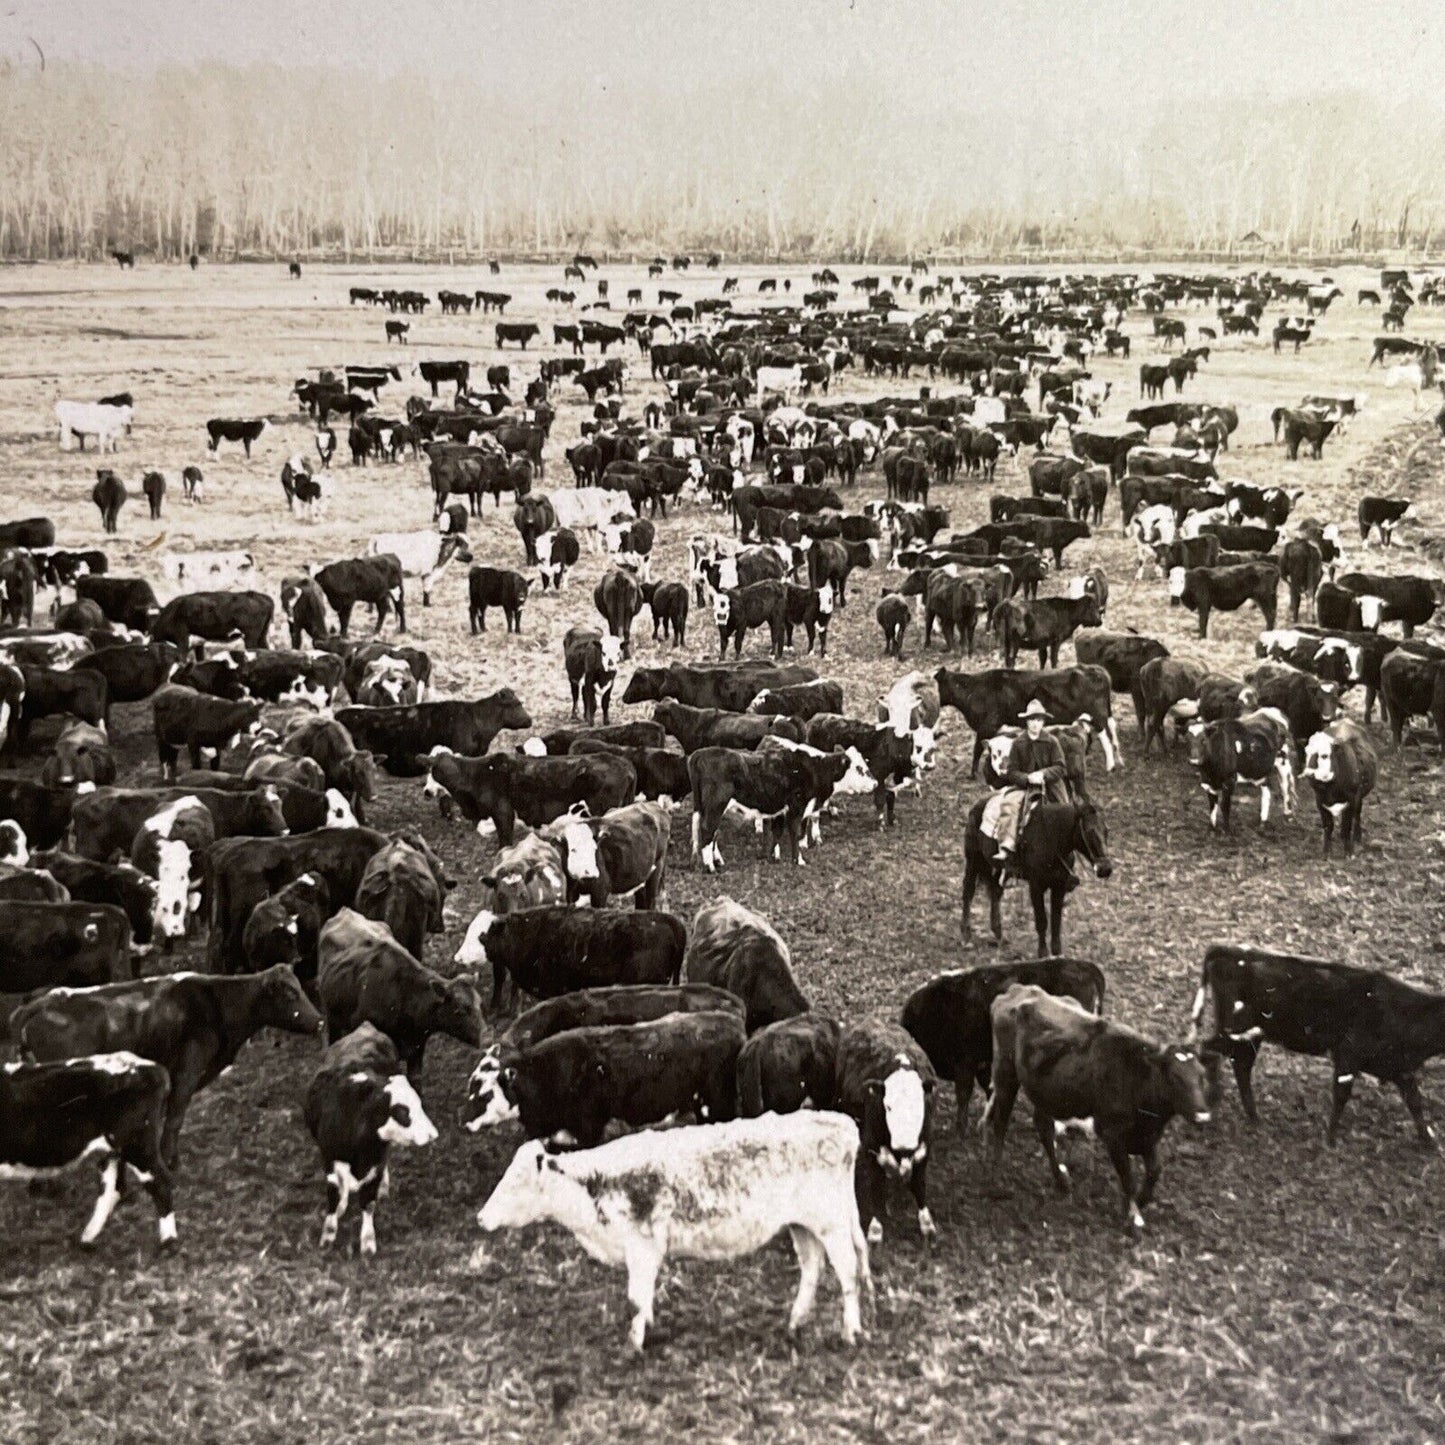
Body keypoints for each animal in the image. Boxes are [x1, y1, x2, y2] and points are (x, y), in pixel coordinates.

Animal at [473, 1109, 867, 1346]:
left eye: (516, 1182)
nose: (481, 1217)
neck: (596, 1185)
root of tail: (839, 1122)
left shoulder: (642, 1247)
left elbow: (635, 1298)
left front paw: (633, 1344)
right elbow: (644, 1296)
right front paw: (647, 1327)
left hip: (831, 1224)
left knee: (848, 1272)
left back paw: (851, 1331)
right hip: (803, 1225)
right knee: (812, 1267)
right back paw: (796, 1322)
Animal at [965, 791, 1109, 959]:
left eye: (1106, 831)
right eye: (1089, 831)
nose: (1106, 868)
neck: (1052, 839)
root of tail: (976, 806)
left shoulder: (1059, 886)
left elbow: (1056, 920)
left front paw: (1057, 953)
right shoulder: (1036, 886)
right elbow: (1042, 921)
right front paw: (1043, 953)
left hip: (1000, 869)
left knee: (995, 892)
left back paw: (998, 935)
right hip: (973, 860)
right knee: (968, 892)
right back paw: (965, 936)